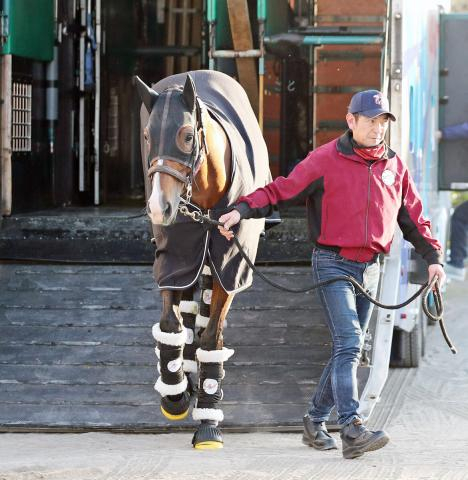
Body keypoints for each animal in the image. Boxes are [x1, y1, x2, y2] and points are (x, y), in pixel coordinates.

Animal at [135, 69, 270, 448]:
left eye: (186, 135)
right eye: (147, 136)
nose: (159, 208)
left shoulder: (230, 266)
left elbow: (212, 337)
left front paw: (208, 420)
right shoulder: (176, 261)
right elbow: (170, 324)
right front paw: (175, 395)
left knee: (205, 305)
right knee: (186, 312)